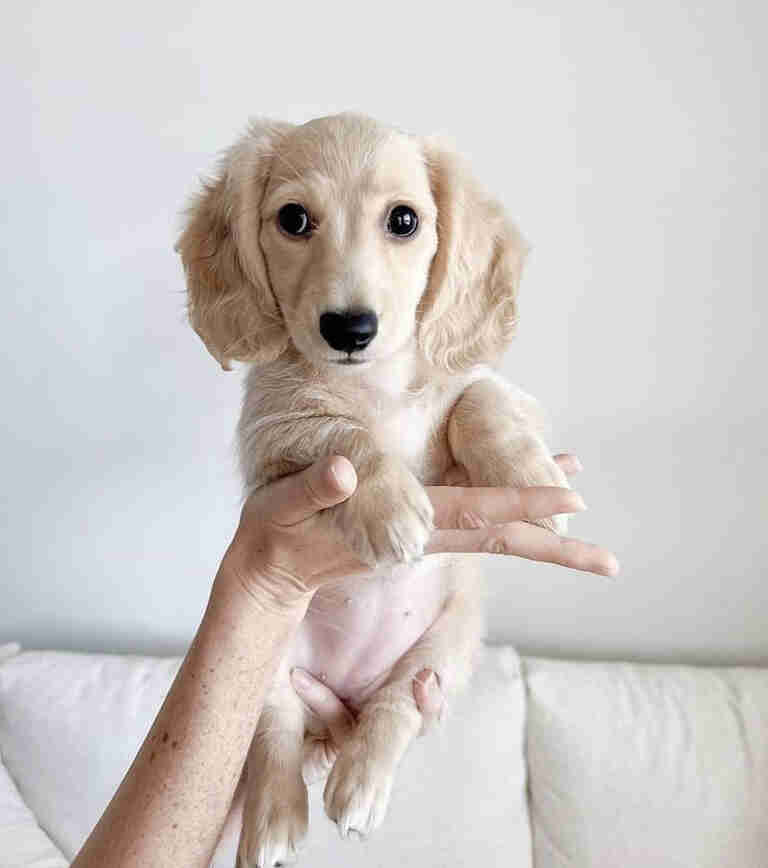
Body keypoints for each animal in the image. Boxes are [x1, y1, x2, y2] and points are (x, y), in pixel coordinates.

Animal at [177, 115, 568, 868]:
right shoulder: (275, 433)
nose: (349, 328)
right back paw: (273, 821)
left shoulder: (485, 393)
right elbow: (345, 434)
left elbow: (480, 400)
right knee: (276, 728)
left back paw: (359, 781)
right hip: (269, 655)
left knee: (395, 708)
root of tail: (347, 687)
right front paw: (388, 506)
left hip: (445, 648)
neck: (376, 383)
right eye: (293, 219)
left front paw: (532, 474)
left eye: (404, 220)